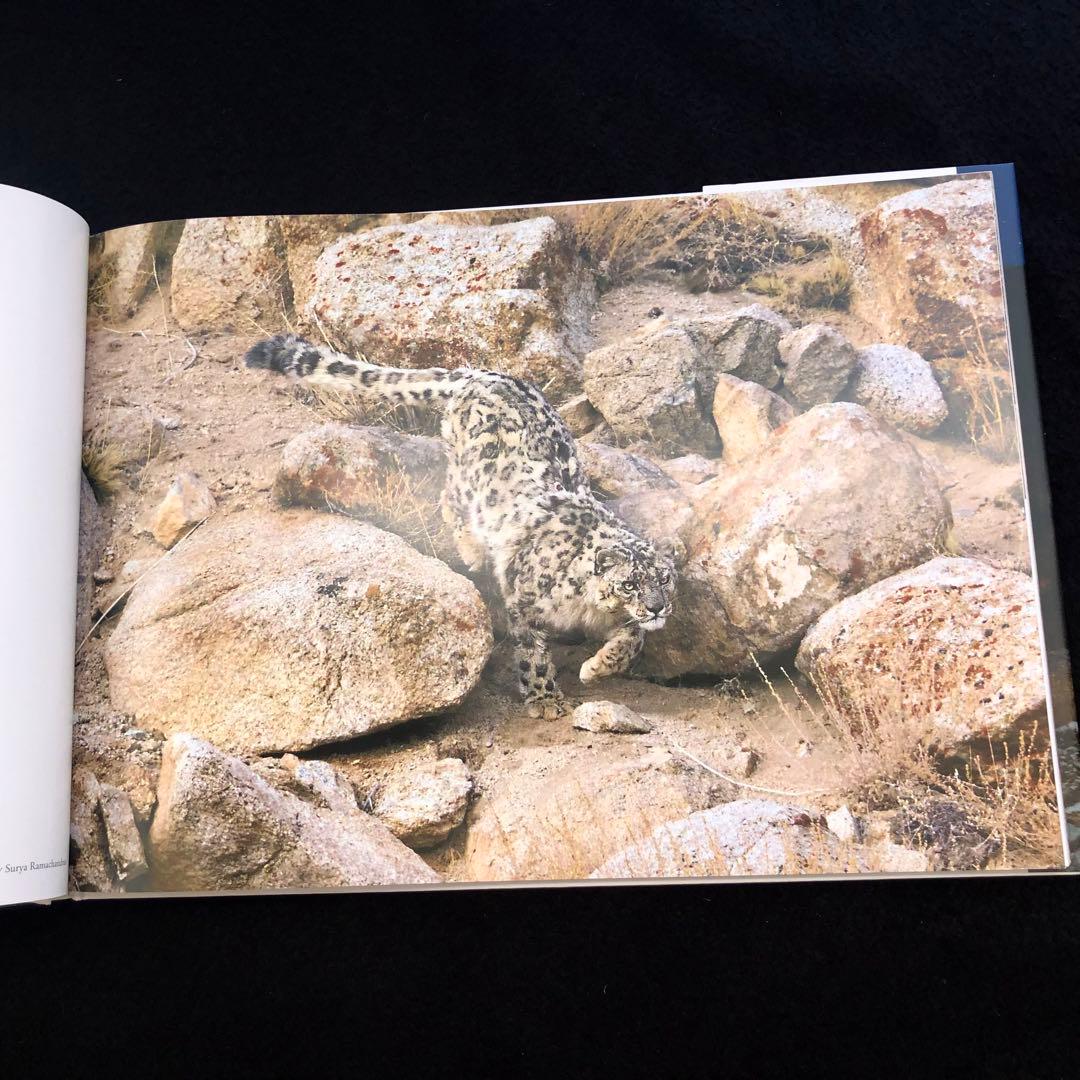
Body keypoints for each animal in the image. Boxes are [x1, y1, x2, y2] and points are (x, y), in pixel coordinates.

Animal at [245, 334, 676, 719]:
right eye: (629, 583)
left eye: (665, 579)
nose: (657, 607)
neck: (588, 607)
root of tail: (483, 373)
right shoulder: (523, 602)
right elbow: (532, 652)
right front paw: (545, 699)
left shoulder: (621, 620)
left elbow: (634, 639)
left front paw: (597, 666)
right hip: (466, 471)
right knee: (451, 495)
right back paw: (470, 547)